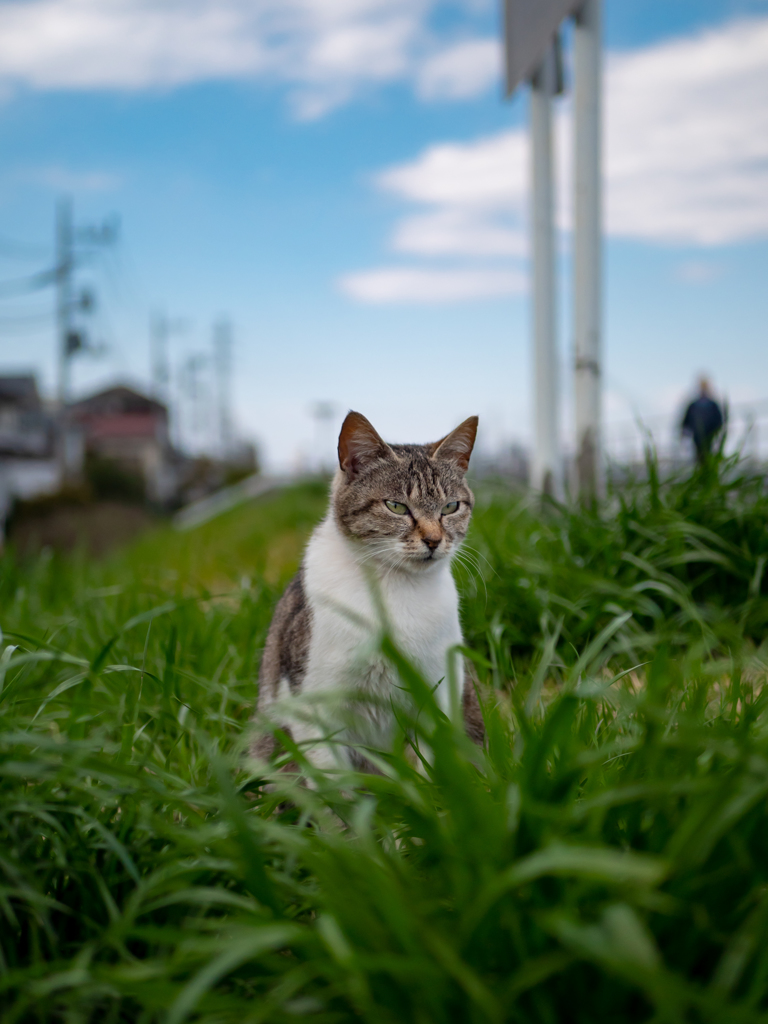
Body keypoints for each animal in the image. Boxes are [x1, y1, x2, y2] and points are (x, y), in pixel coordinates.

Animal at [252, 411, 483, 770]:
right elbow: (332, 777)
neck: (394, 587)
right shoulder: (313, 705)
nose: (433, 540)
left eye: (450, 507)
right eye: (396, 506)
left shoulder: (438, 692)